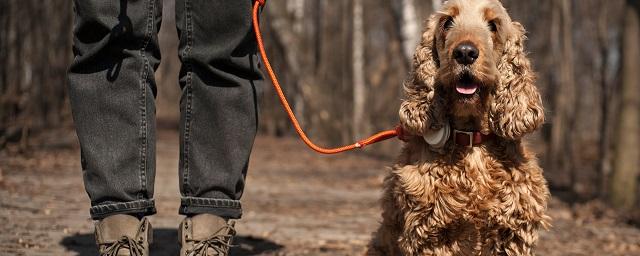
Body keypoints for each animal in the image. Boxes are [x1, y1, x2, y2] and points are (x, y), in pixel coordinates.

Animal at [368, 1, 552, 255]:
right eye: (447, 22)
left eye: (493, 25)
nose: (465, 52)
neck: (471, 139)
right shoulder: (431, 233)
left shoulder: (513, 233)